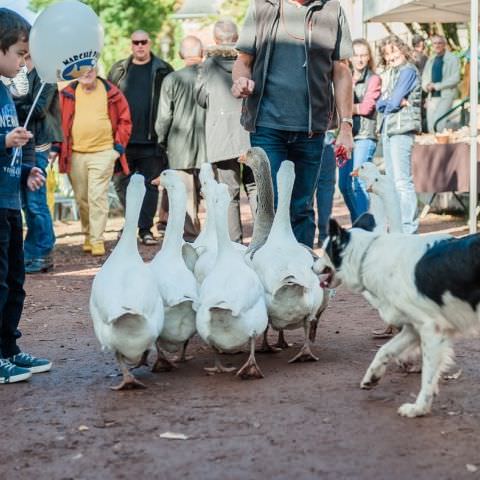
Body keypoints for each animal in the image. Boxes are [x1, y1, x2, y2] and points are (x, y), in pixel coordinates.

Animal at [324, 216, 478, 418]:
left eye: (324, 252)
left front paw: (419, 408)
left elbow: (428, 376)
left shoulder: (431, 328)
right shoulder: (413, 328)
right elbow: (384, 350)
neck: (367, 255)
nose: (312, 265)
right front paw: (372, 377)